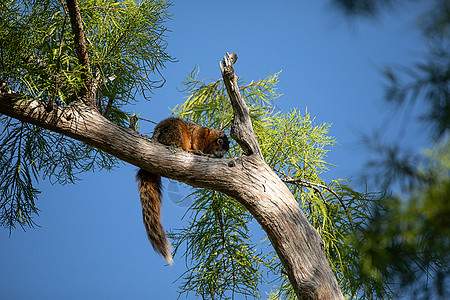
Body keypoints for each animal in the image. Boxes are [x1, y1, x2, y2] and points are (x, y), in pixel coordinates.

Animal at [136, 116, 229, 264]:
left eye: (226, 150)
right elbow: (197, 137)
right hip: (175, 131)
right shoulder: (202, 133)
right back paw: (187, 150)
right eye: (220, 142)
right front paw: (198, 150)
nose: (220, 154)